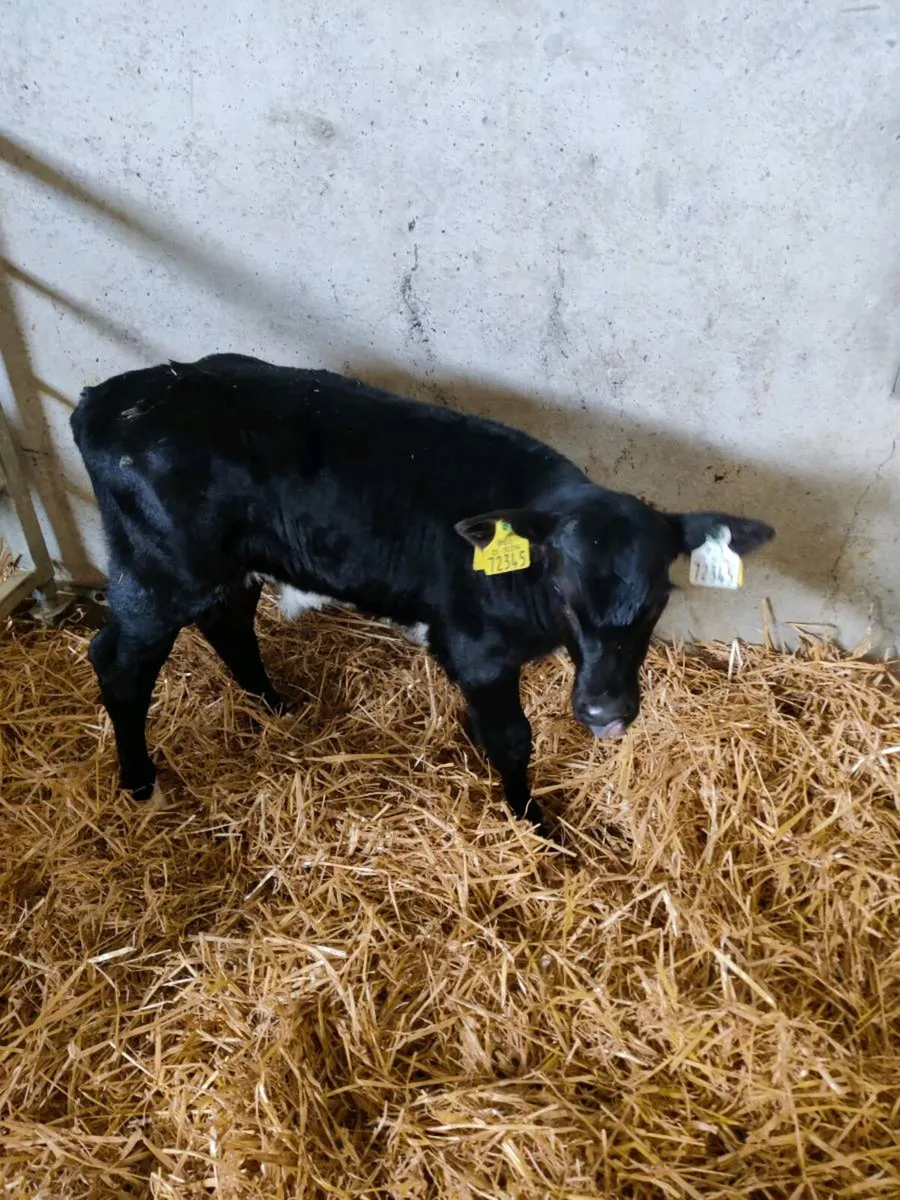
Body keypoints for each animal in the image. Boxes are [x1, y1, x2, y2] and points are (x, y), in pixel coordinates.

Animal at [71, 354, 773, 837]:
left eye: (658, 599)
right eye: (563, 587)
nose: (606, 712)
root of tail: (106, 398)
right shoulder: (476, 652)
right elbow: (512, 739)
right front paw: (533, 821)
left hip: (227, 563)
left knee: (229, 622)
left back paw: (276, 704)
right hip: (156, 570)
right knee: (118, 662)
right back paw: (140, 782)